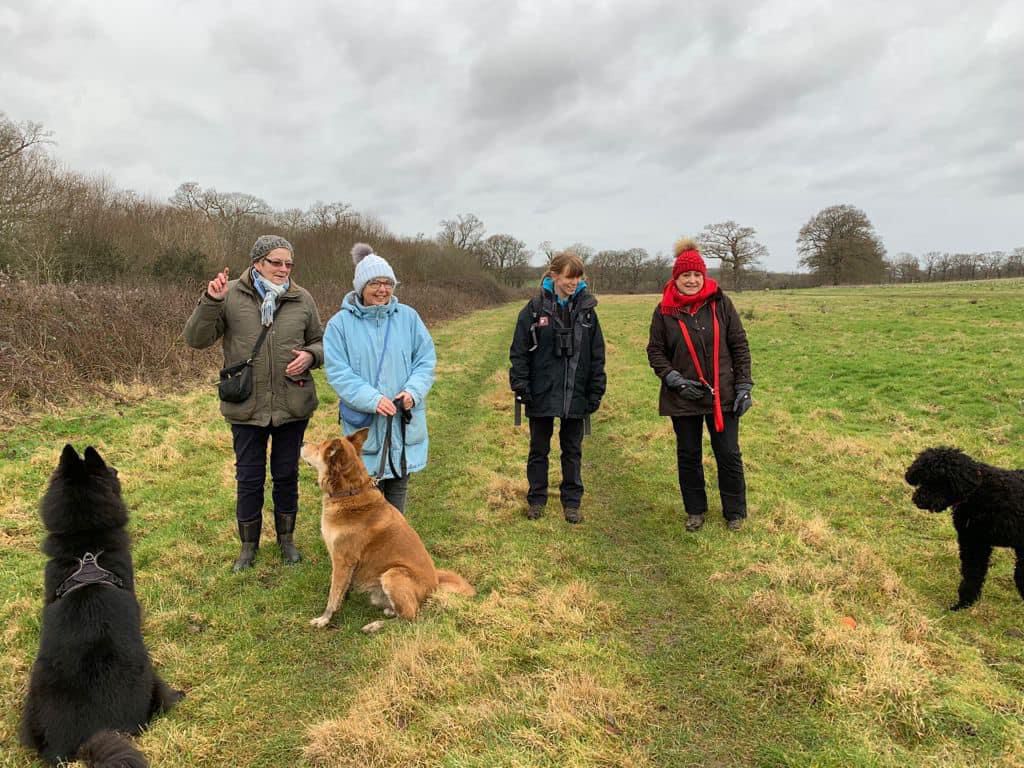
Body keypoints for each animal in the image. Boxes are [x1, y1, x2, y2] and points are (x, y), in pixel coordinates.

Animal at [299, 430, 475, 634]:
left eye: (319, 447)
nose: (302, 442)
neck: (350, 493)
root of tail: (436, 584)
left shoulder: (342, 560)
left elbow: (332, 596)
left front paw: (324, 619)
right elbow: (340, 589)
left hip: (393, 574)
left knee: (410, 617)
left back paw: (375, 625)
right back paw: (389, 611)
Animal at [905, 448, 1024, 610]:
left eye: (942, 483)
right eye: (924, 479)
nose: (920, 500)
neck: (976, 490)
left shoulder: (976, 543)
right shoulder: (973, 542)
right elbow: (972, 574)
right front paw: (964, 604)